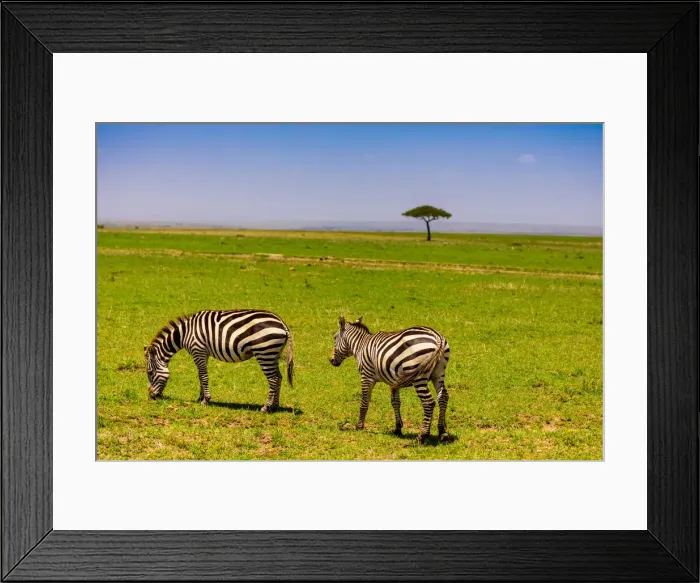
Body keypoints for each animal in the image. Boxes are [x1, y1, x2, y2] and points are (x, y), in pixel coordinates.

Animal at [144, 309, 294, 412]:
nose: (151, 396)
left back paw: (266, 408)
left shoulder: (197, 350)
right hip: (273, 354)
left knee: (273, 379)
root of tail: (281, 323)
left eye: (150, 373)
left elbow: (203, 376)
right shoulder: (203, 353)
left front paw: (206, 400)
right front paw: (200, 398)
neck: (184, 334)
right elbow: (200, 376)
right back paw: (275, 406)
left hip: (264, 352)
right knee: (279, 377)